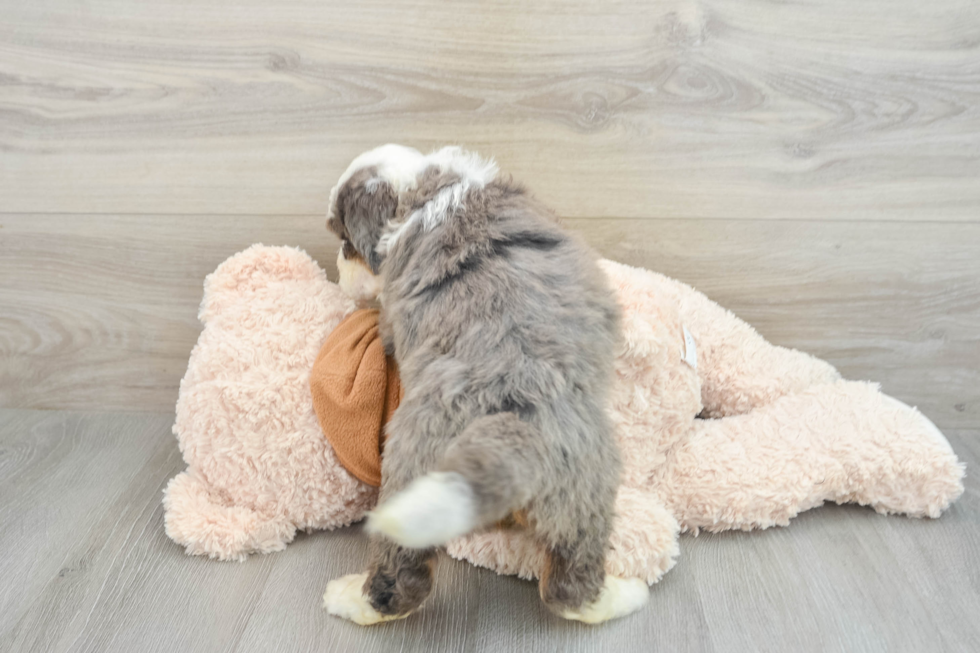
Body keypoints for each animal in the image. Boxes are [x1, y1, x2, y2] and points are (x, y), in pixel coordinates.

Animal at [318, 145, 648, 624]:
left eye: (345, 241)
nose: (340, 268)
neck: (425, 189)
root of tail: (512, 417)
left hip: (412, 470)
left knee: (400, 580)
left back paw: (348, 599)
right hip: (585, 490)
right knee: (569, 586)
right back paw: (624, 596)